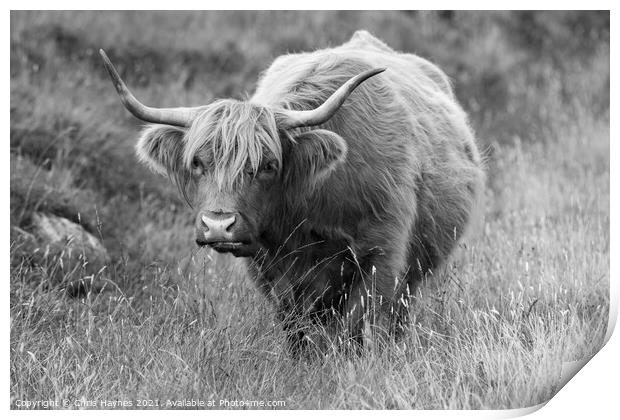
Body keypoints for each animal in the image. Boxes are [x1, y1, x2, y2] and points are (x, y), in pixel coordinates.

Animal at [100, 29, 484, 352]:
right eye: (197, 162)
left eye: (269, 165)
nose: (218, 225)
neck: (309, 208)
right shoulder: (268, 267)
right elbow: (294, 325)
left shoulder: (381, 256)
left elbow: (356, 326)